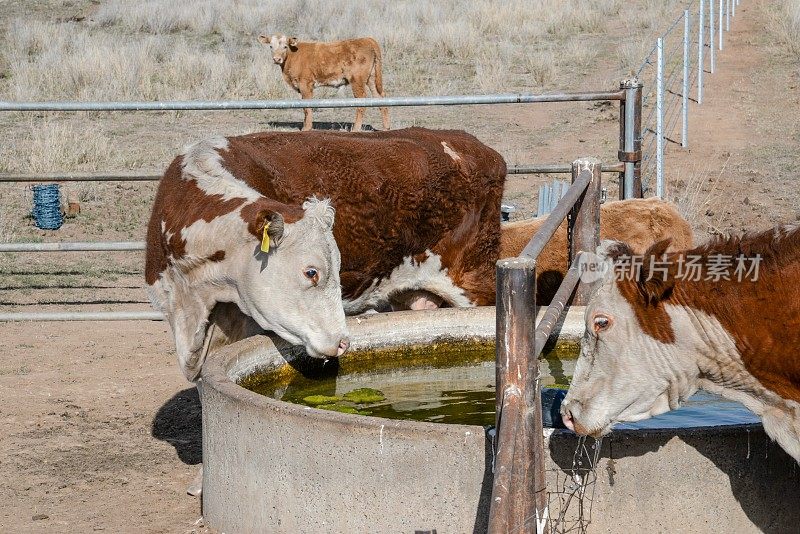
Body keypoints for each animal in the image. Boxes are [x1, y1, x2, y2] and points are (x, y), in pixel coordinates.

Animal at [260, 33, 390, 133]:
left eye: (285, 46)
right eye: (271, 46)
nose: (277, 59)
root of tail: (367, 39)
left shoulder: (305, 84)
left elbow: (307, 107)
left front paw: (307, 128)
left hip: (357, 80)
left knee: (361, 101)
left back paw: (355, 129)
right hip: (371, 79)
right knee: (380, 98)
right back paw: (386, 128)